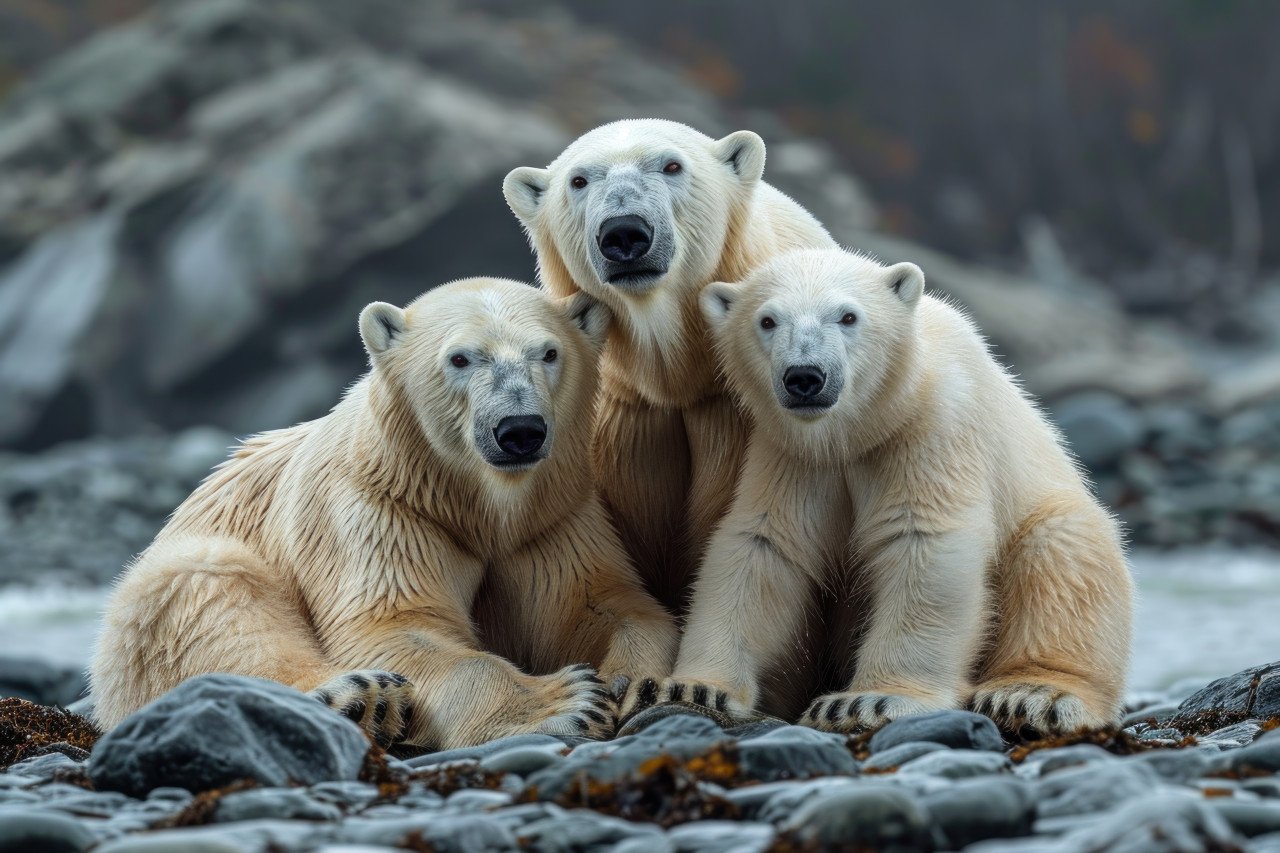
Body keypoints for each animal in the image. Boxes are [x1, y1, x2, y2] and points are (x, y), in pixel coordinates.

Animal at [90, 277, 678, 749]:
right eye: (461, 358)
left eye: (549, 352)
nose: (520, 430)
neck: (470, 505)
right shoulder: (378, 510)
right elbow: (395, 623)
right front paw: (567, 701)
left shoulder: (552, 521)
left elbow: (598, 603)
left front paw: (640, 683)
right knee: (209, 597)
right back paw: (361, 698)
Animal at [503, 119, 835, 615]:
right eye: (579, 180)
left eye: (672, 165)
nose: (625, 232)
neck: (678, 378)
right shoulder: (623, 419)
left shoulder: (730, 417)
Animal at [619, 248, 1133, 734]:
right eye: (767, 320)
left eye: (848, 316)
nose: (805, 376)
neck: (861, 428)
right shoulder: (792, 455)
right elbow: (763, 547)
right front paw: (694, 687)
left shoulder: (932, 429)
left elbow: (923, 541)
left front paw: (865, 701)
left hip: (1050, 511)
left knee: (1060, 557)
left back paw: (1030, 694)